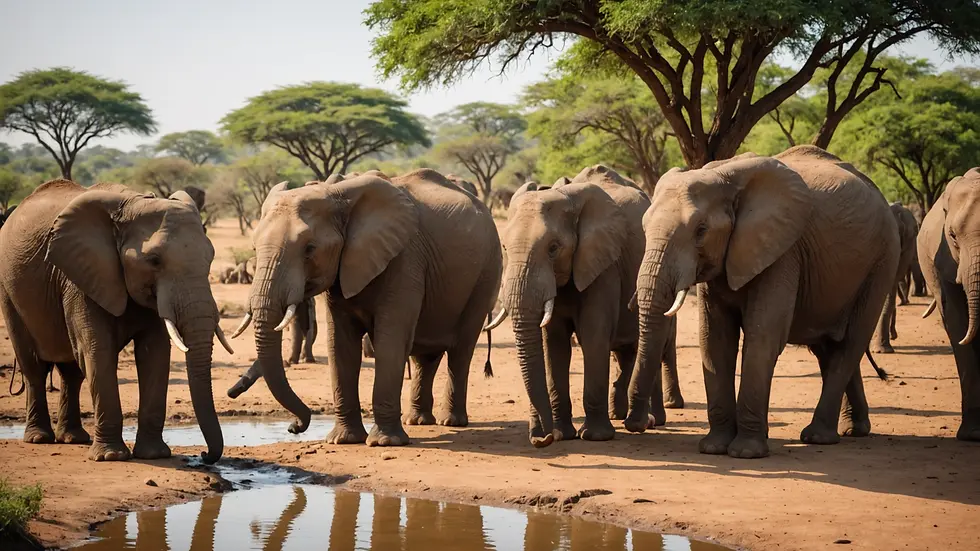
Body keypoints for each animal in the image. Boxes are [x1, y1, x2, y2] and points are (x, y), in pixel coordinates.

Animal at [0, 180, 231, 462]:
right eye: (154, 261)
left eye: (210, 257)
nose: (203, 454)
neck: (133, 203)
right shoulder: (81, 277)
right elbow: (98, 351)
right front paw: (111, 456)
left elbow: (155, 353)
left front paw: (154, 455)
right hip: (8, 289)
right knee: (33, 366)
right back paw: (39, 438)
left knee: (71, 373)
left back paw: (73, 438)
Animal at [226, 169, 502, 446]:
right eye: (254, 247)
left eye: (309, 249)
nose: (294, 427)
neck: (335, 192)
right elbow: (340, 343)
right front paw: (343, 440)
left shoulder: (405, 257)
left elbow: (391, 339)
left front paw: (384, 442)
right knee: (425, 355)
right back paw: (417, 421)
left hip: (486, 273)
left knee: (461, 349)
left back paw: (451, 422)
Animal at [489, 165, 656, 446]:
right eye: (504, 247)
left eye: (553, 248)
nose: (541, 438)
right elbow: (554, 343)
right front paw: (561, 434)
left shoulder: (603, 264)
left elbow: (593, 337)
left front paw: (595, 437)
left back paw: (644, 422)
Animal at [625, 145, 899, 459]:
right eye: (644, 227)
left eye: (701, 230)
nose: (640, 423)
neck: (721, 173)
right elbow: (714, 339)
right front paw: (714, 447)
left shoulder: (783, 250)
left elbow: (762, 336)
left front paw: (745, 452)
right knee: (828, 348)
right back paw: (853, 430)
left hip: (883, 260)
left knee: (849, 343)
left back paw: (817, 437)